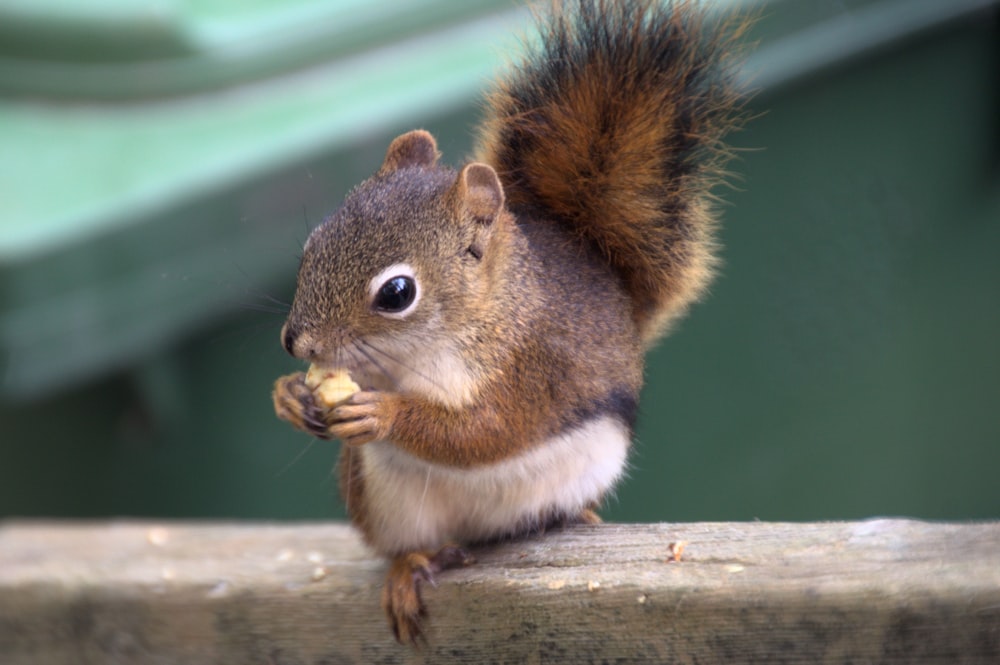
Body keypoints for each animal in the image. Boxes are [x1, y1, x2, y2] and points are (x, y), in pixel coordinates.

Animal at [272, 0, 744, 644]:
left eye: (397, 293)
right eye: (312, 244)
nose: (297, 343)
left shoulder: (535, 364)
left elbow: (486, 431)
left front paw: (385, 413)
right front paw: (291, 397)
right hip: (387, 500)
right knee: (410, 545)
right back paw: (409, 569)